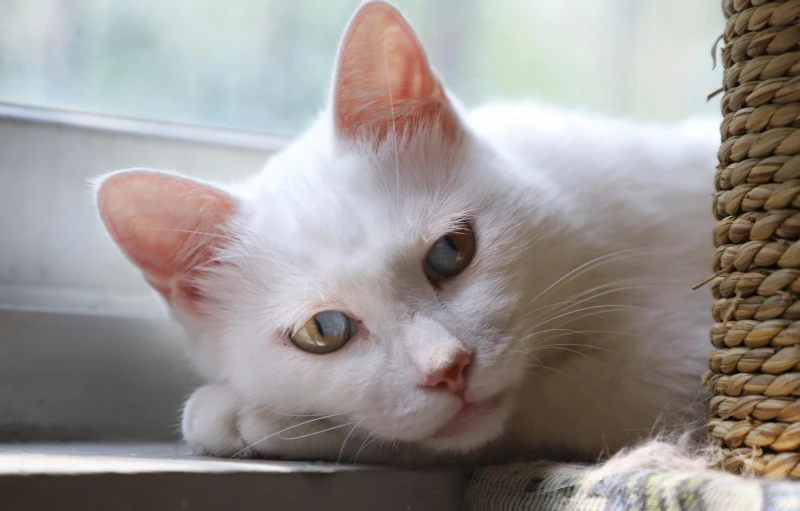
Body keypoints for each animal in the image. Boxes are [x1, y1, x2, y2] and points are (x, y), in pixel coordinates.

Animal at [94, 1, 720, 464]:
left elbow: (547, 405)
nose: (449, 369)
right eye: (324, 330)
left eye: (449, 252)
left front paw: (248, 416)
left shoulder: (672, 361)